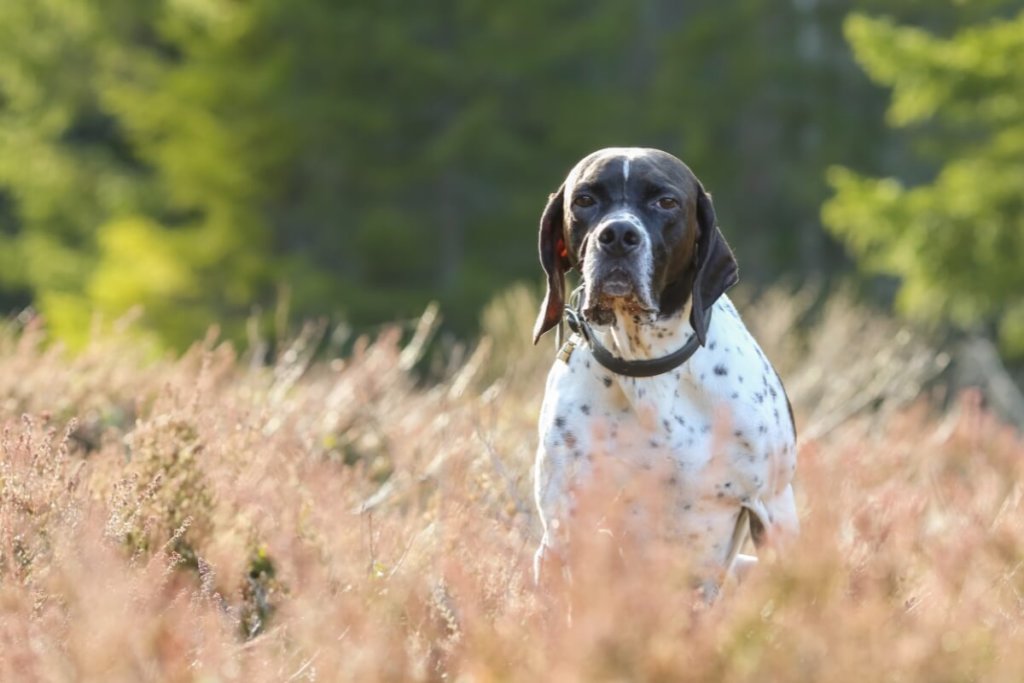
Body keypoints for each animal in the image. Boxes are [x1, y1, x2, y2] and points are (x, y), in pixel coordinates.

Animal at [532, 147, 794, 593]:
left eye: (666, 202)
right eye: (585, 199)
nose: (618, 235)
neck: (646, 365)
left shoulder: (774, 508)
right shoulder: (566, 529)